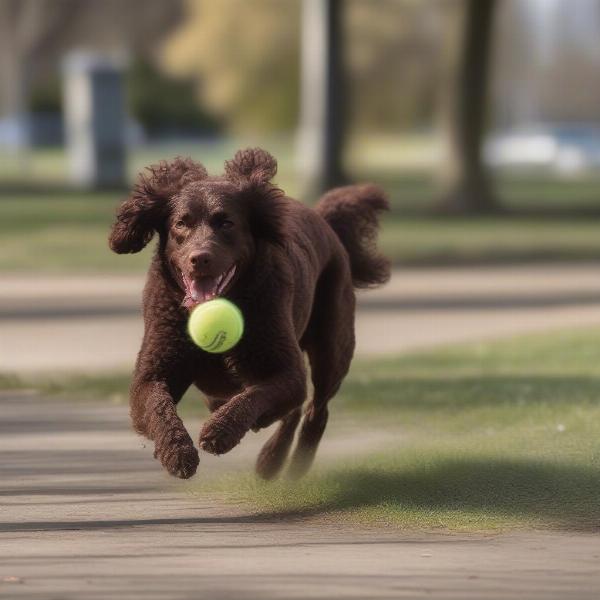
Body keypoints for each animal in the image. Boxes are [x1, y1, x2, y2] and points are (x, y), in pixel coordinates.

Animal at [109, 148, 390, 480]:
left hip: (331, 348)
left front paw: (220, 433)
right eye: (181, 223)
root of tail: (323, 219)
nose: (199, 258)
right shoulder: (152, 372)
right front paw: (177, 453)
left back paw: (291, 465)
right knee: (294, 410)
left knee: (314, 410)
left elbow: (254, 397)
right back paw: (272, 460)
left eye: (227, 223)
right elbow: (158, 407)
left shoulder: (285, 371)